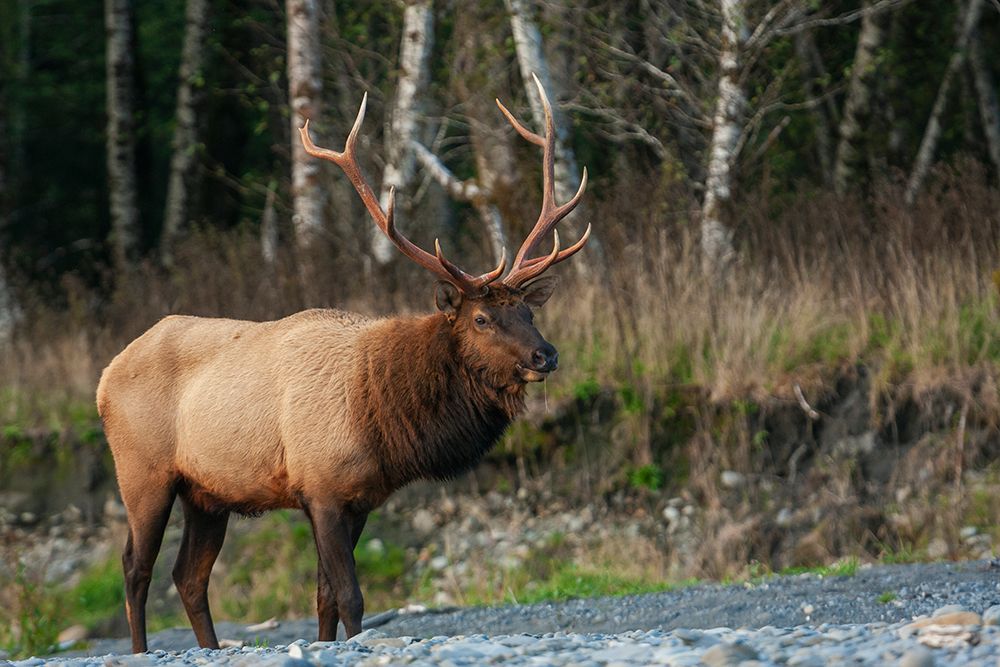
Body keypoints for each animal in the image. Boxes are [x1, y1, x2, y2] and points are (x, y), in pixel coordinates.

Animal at [97, 75, 590, 653]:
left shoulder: (359, 499)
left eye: (528, 310)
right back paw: (139, 648)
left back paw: (211, 647)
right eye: (483, 318)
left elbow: (324, 597)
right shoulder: (323, 488)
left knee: (188, 575)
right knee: (135, 567)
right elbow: (351, 596)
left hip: (207, 493)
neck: (381, 419)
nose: (545, 354)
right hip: (143, 472)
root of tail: (104, 378)